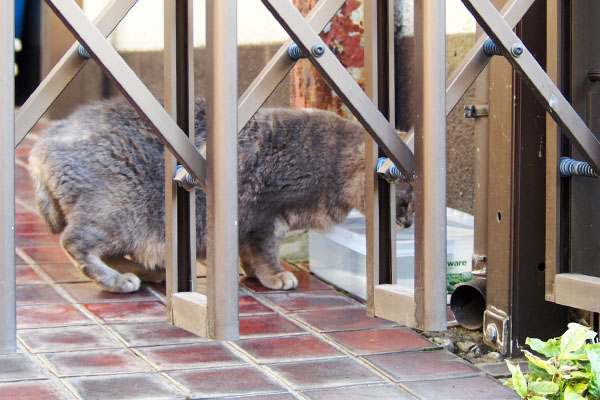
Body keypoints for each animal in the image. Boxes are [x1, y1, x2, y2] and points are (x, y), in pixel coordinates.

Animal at [29, 95, 412, 292]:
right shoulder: (265, 216)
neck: (329, 159)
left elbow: (248, 254)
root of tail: (42, 145)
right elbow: (266, 254)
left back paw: (148, 272)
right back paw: (118, 279)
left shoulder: (253, 224)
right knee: (75, 244)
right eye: (406, 201)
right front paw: (275, 276)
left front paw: (253, 274)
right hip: (119, 215)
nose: (409, 223)